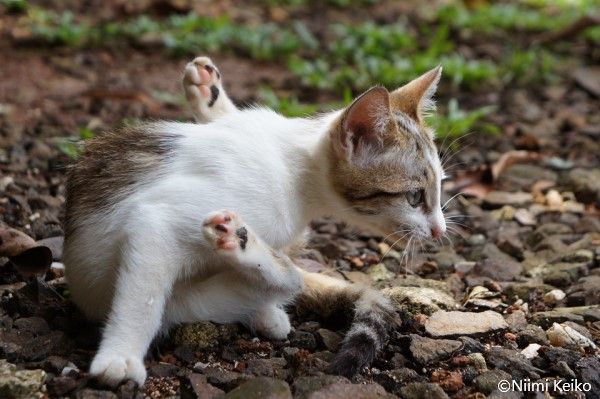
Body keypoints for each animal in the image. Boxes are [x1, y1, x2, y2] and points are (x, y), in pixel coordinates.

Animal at [62, 56, 446, 388]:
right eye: (414, 196)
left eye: (440, 186)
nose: (440, 230)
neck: (293, 167)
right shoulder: (158, 219)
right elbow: (143, 299)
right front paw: (120, 356)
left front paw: (211, 97)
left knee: (287, 280)